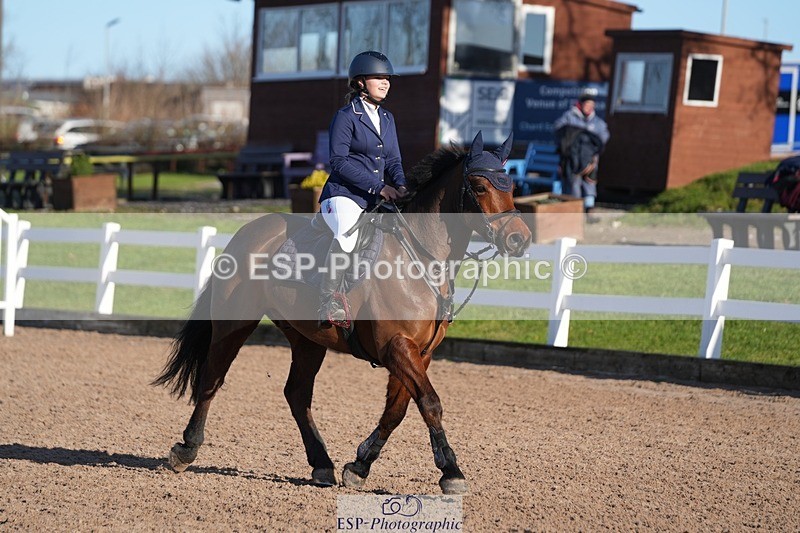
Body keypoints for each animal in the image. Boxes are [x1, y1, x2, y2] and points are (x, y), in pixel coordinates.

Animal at [152, 131, 532, 495]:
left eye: (512, 187)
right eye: (480, 187)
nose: (519, 240)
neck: (420, 258)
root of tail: (248, 231)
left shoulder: (419, 353)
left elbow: (396, 411)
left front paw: (360, 465)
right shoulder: (396, 347)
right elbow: (429, 402)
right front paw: (451, 471)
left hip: (306, 338)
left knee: (297, 394)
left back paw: (322, 465)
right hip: (234, 323)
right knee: (211, 379)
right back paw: (186, 449)